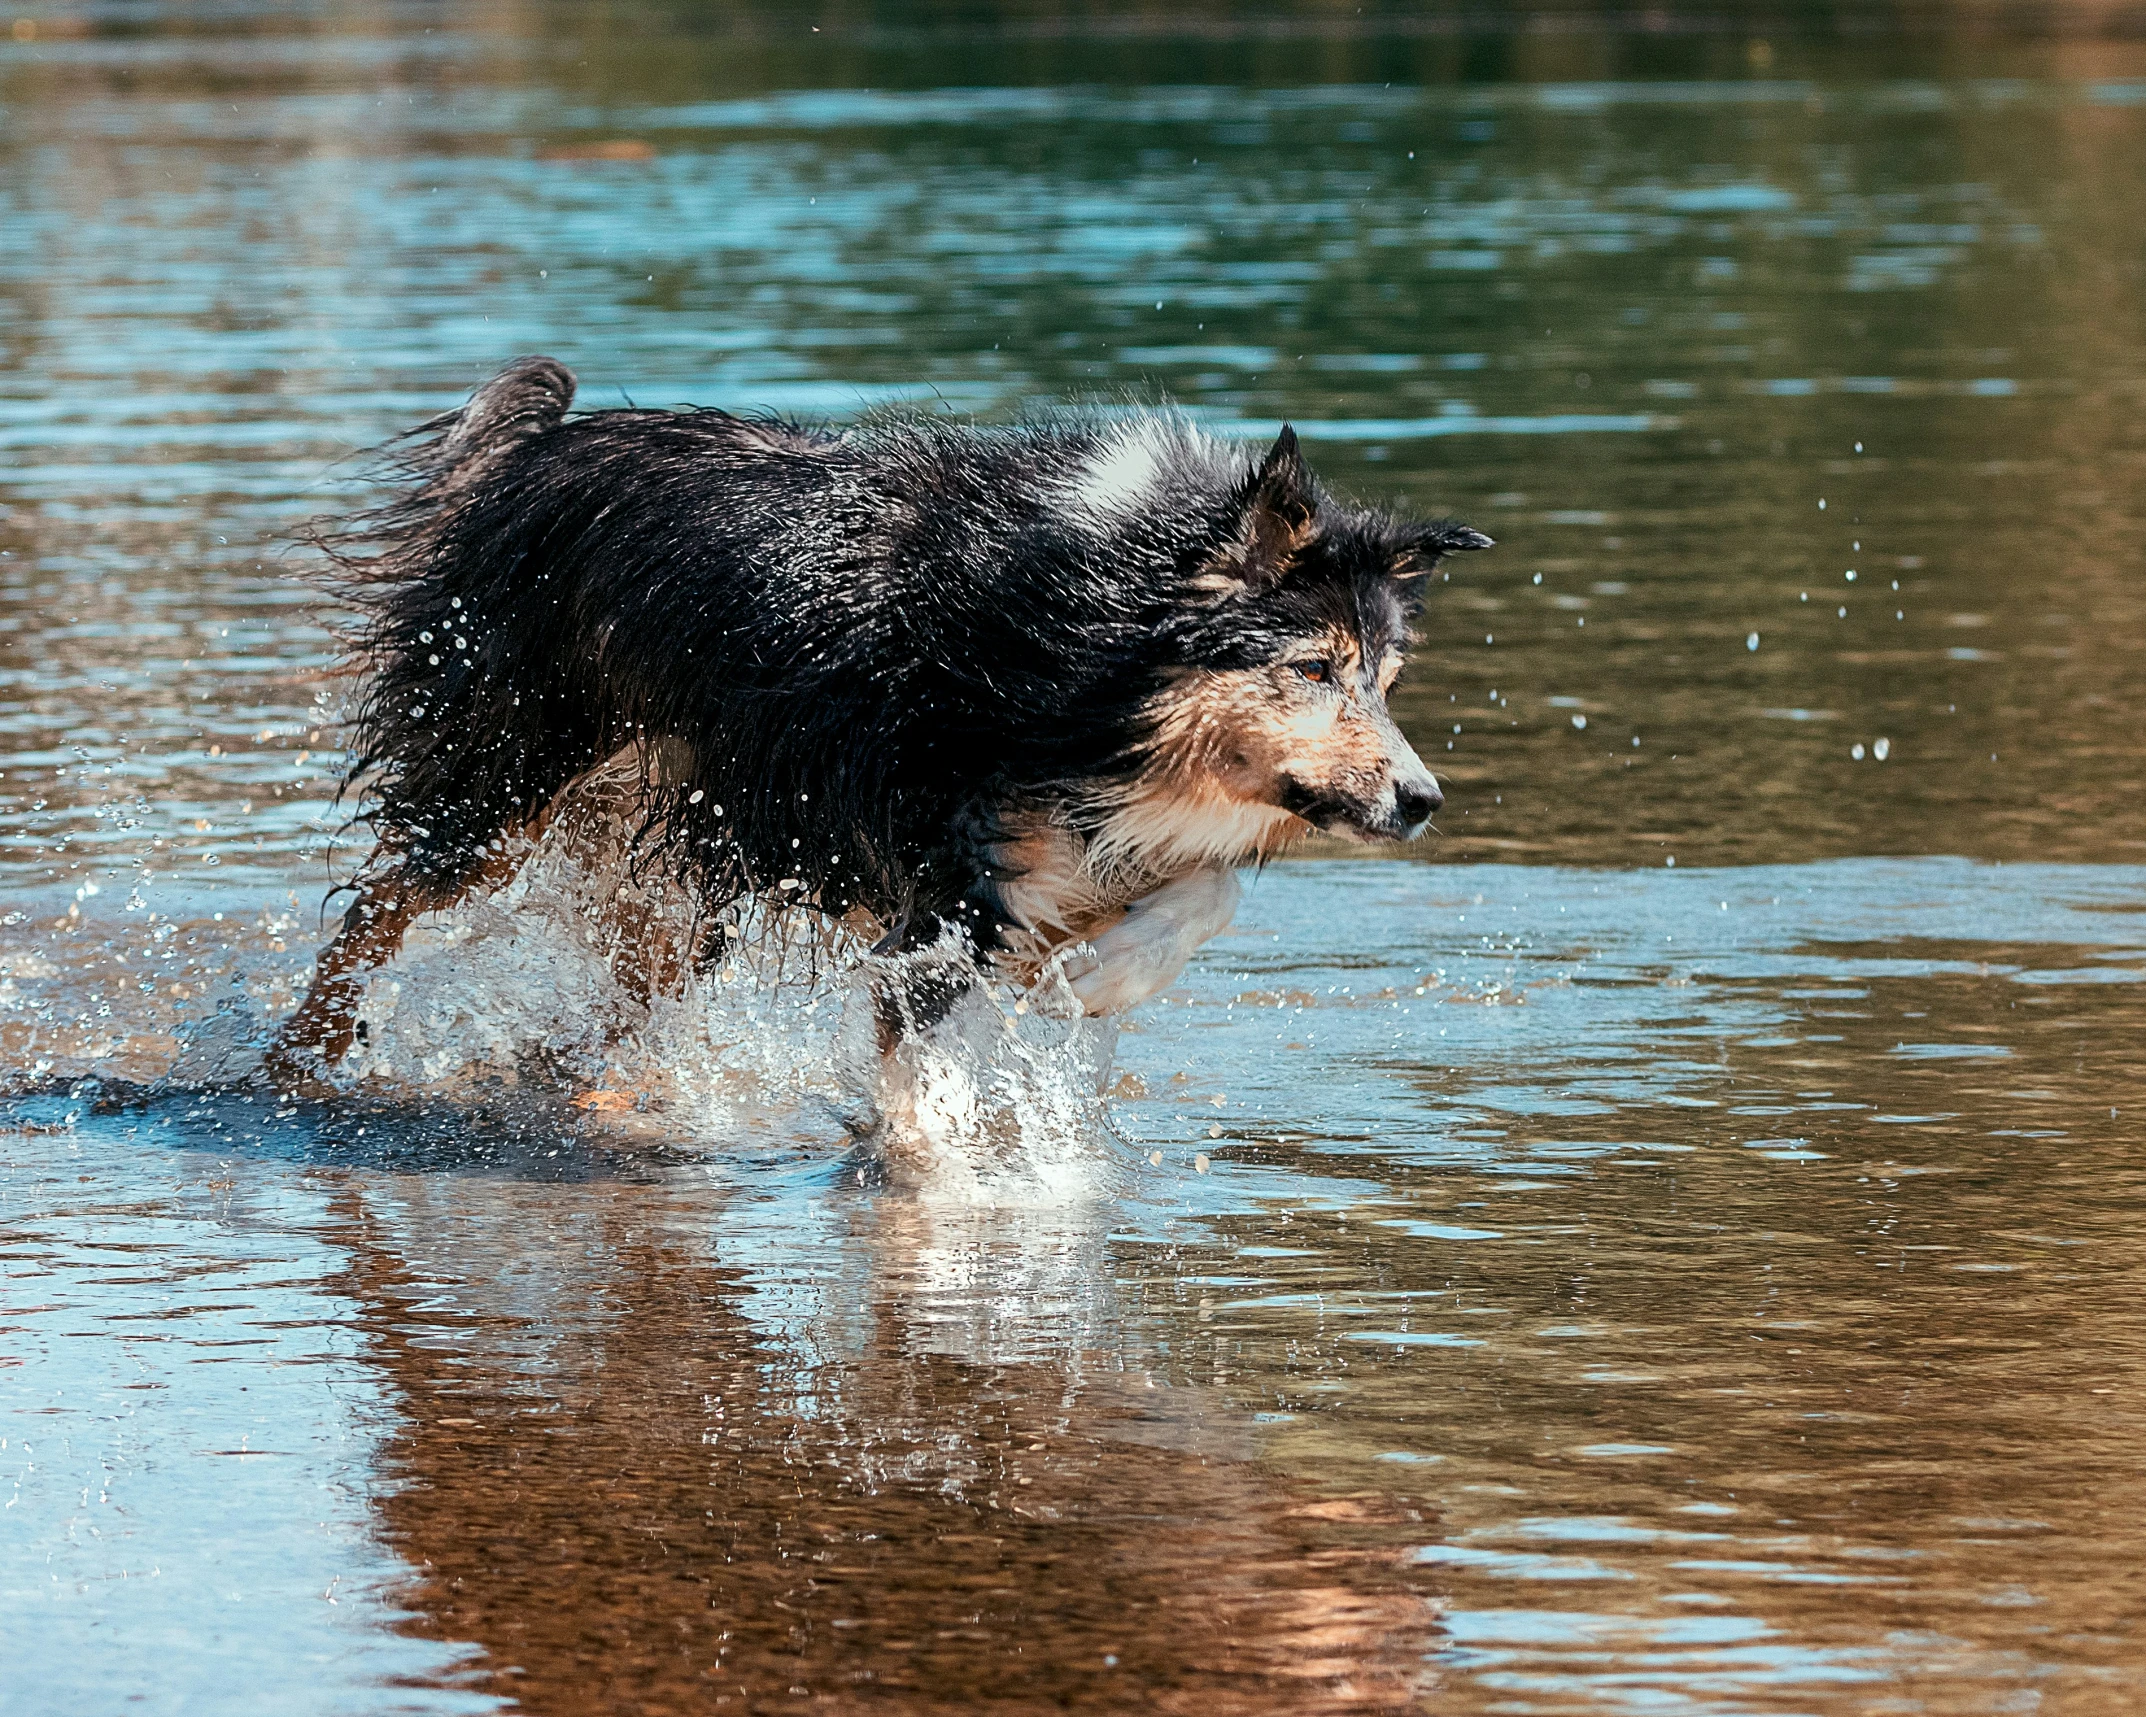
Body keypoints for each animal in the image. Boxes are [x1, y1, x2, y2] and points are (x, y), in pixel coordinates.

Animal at [259, 358, 1485, 1086]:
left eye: (1386, 678)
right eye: (1314, 668)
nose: (1422, 801)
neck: (1083, 638)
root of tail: (533, 447)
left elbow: (1207, 891)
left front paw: (1097, 980)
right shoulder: (946, 879)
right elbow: (919, 1056)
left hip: (691, 852)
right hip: (505, 781)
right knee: (380, 903)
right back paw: (293, 1060)